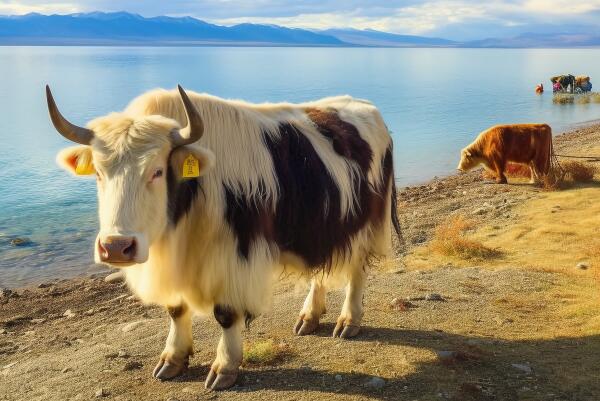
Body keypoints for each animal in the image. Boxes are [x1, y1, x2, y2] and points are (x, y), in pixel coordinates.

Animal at [47, 84, 400, 388]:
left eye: (157, 171)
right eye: (98, 173)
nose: (116, 247)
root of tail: (370, 110)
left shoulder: (235, 255)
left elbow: (226, 314)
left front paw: (224, 367)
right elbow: (175, 309)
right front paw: (172, 360)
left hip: (367, 223)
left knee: (357, 270)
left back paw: (348, 322)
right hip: (319, 226)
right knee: (320, 269)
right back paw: (309, 317)